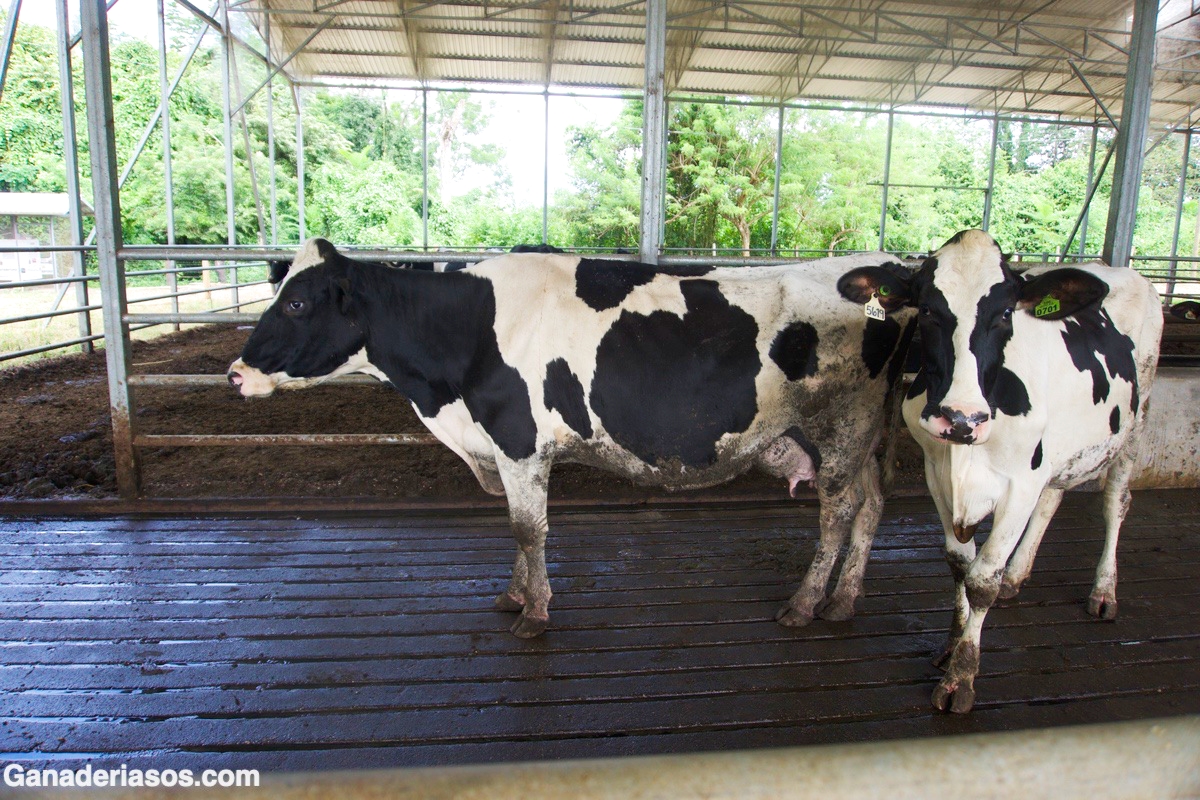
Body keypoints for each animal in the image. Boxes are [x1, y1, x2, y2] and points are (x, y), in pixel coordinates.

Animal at [229, 236, 912, 638]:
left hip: (841, 430)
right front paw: (514, 595)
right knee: (872, 506)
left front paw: (534, 611)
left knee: (839, 512)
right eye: (278, 291)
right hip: (859, 440)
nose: (235, 373)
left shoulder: (519, 440)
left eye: (296, 304)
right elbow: (518, 527)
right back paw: (844, 600)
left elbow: (527, 528)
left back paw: (805, 603)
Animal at [844, 230, 1161, 714]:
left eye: (1006, 313)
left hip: (1135, 422)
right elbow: (960, 565)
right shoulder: (938, 472)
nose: (961, 418)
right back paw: (1017, 574)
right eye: (929, 309)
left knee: (1116, 501)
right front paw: (952, 645)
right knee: (1053, 497)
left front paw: (961, 678)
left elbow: (981, 582)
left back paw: (1103, 591)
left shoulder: (1019, 484)